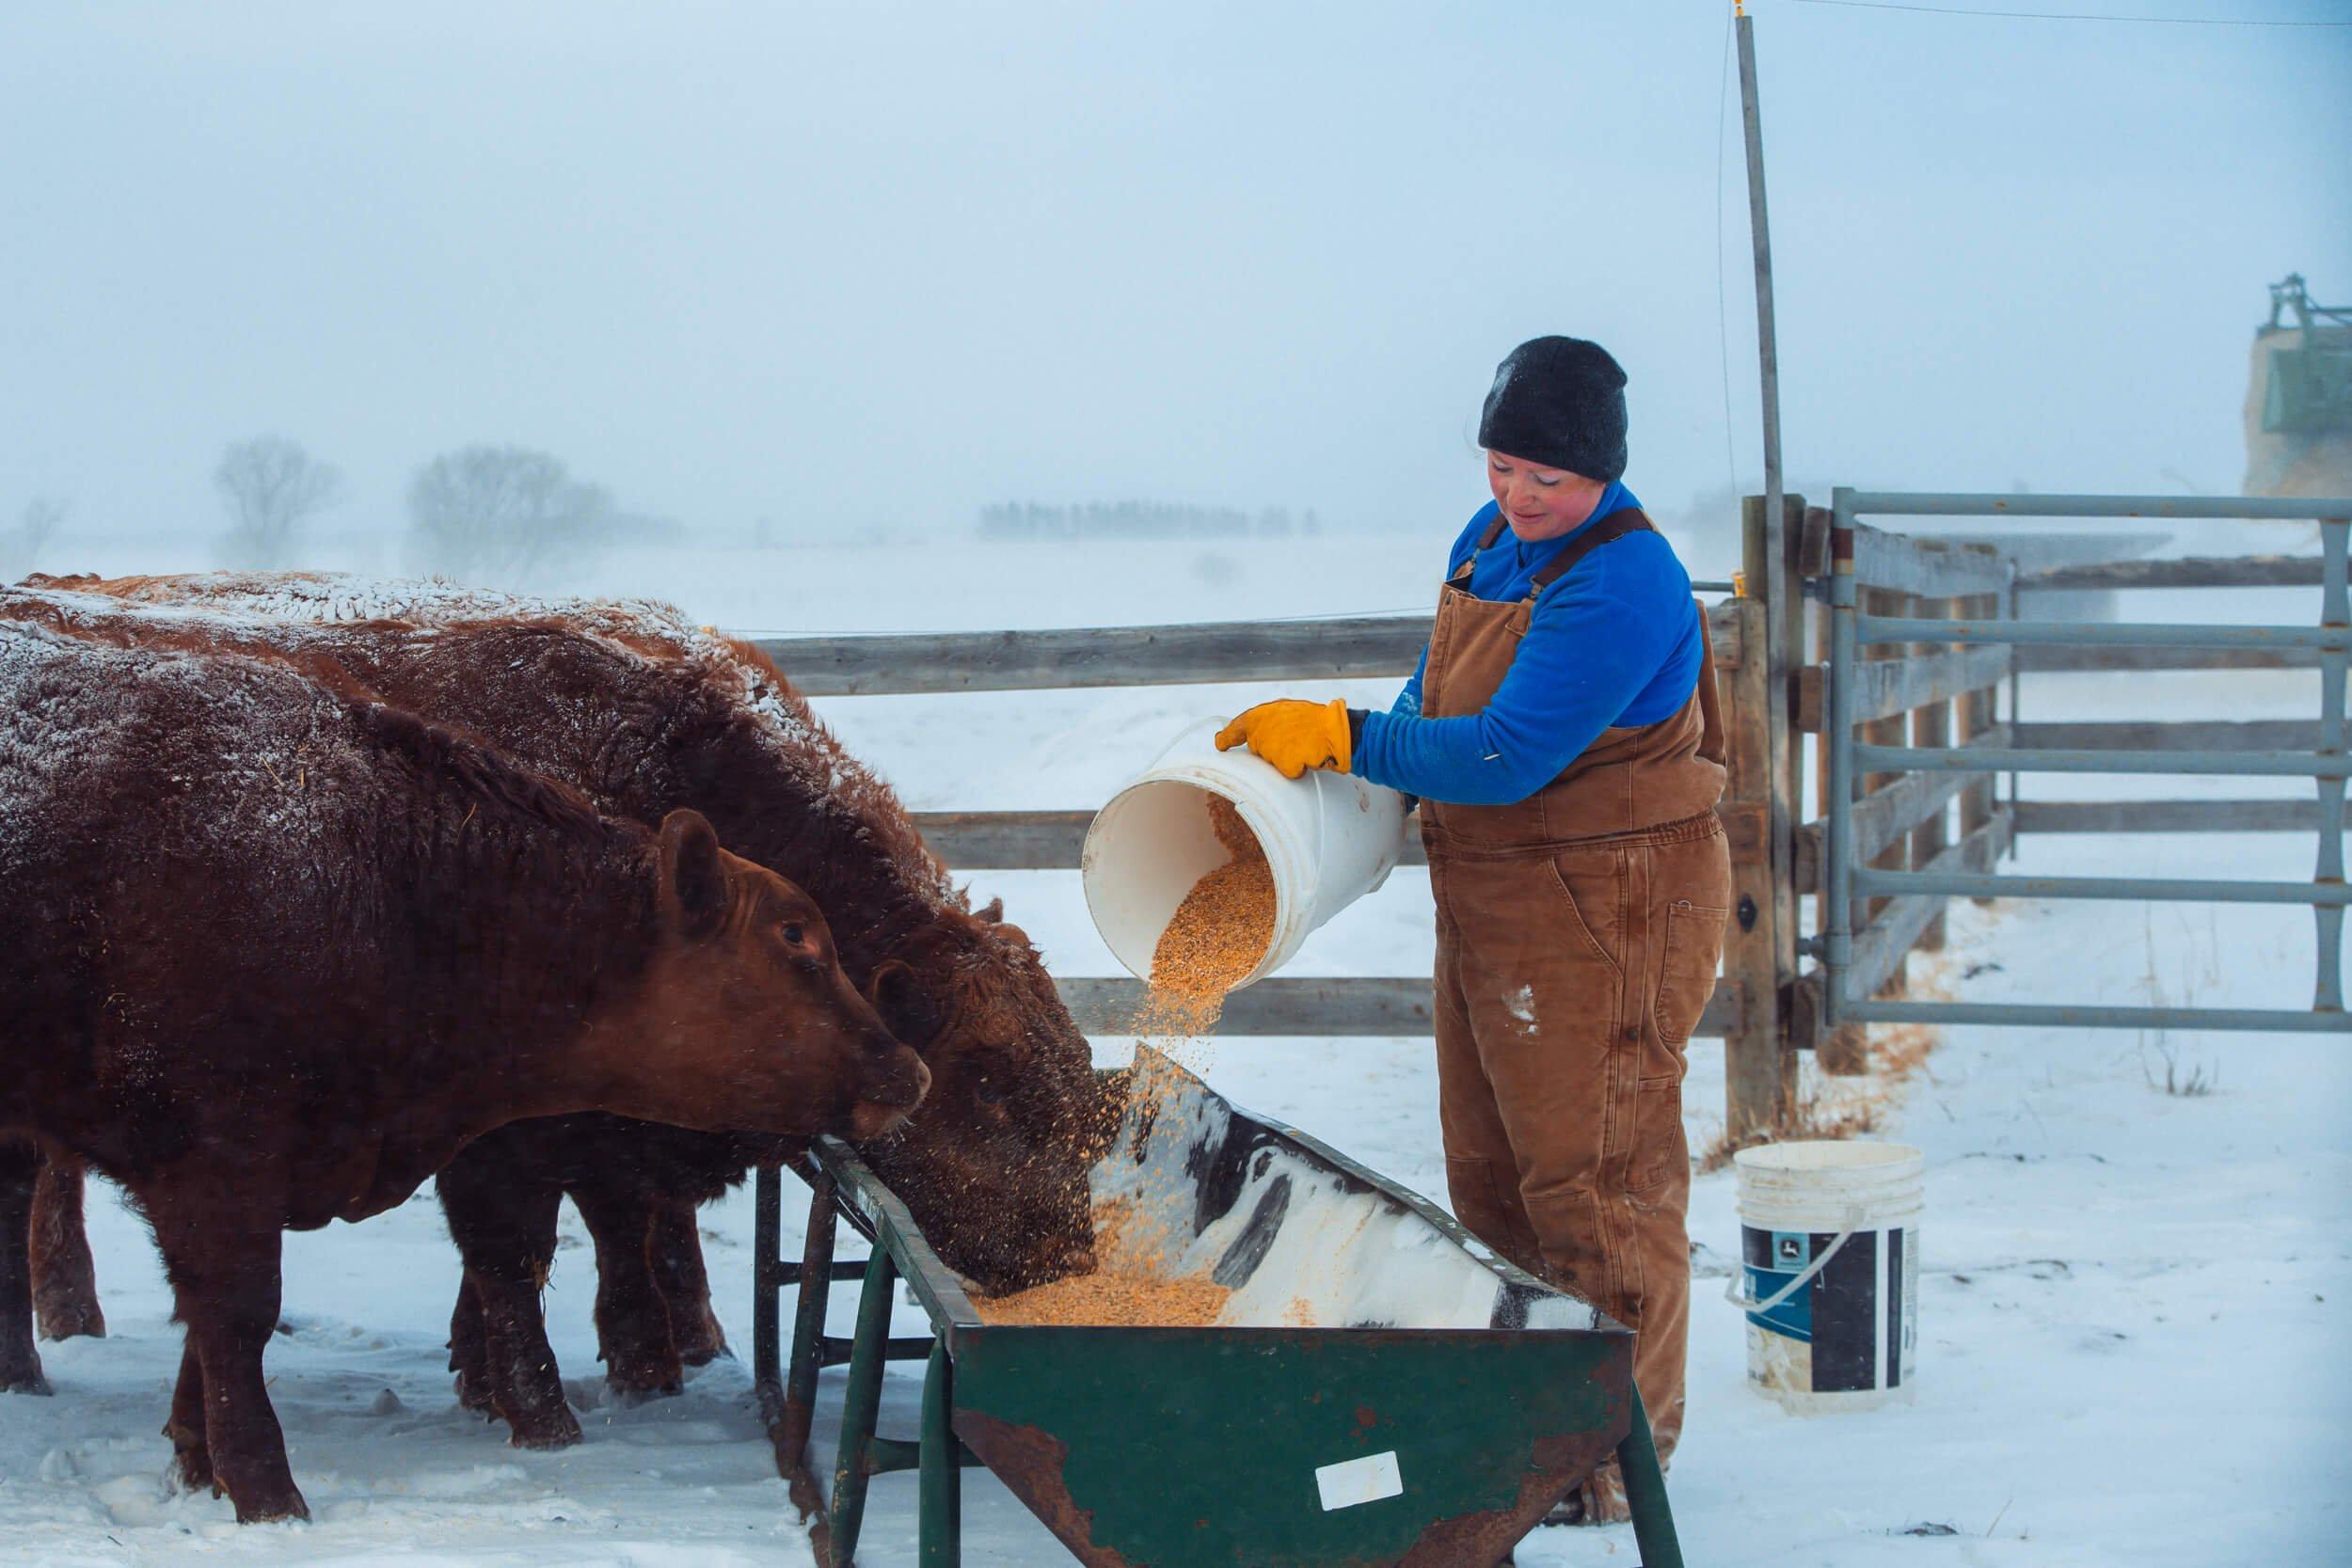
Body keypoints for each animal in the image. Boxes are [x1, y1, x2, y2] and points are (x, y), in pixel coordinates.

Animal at [4, 573, 1105, 1448]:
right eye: (990, 1084)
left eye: (1074, 1075)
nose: (1068, 1252)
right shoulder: (508, 1125)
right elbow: (517, 1246)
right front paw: (543, 1402)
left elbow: (613, 1224)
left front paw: (614, 1362)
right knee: (31, 1187)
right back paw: (42, 1344)